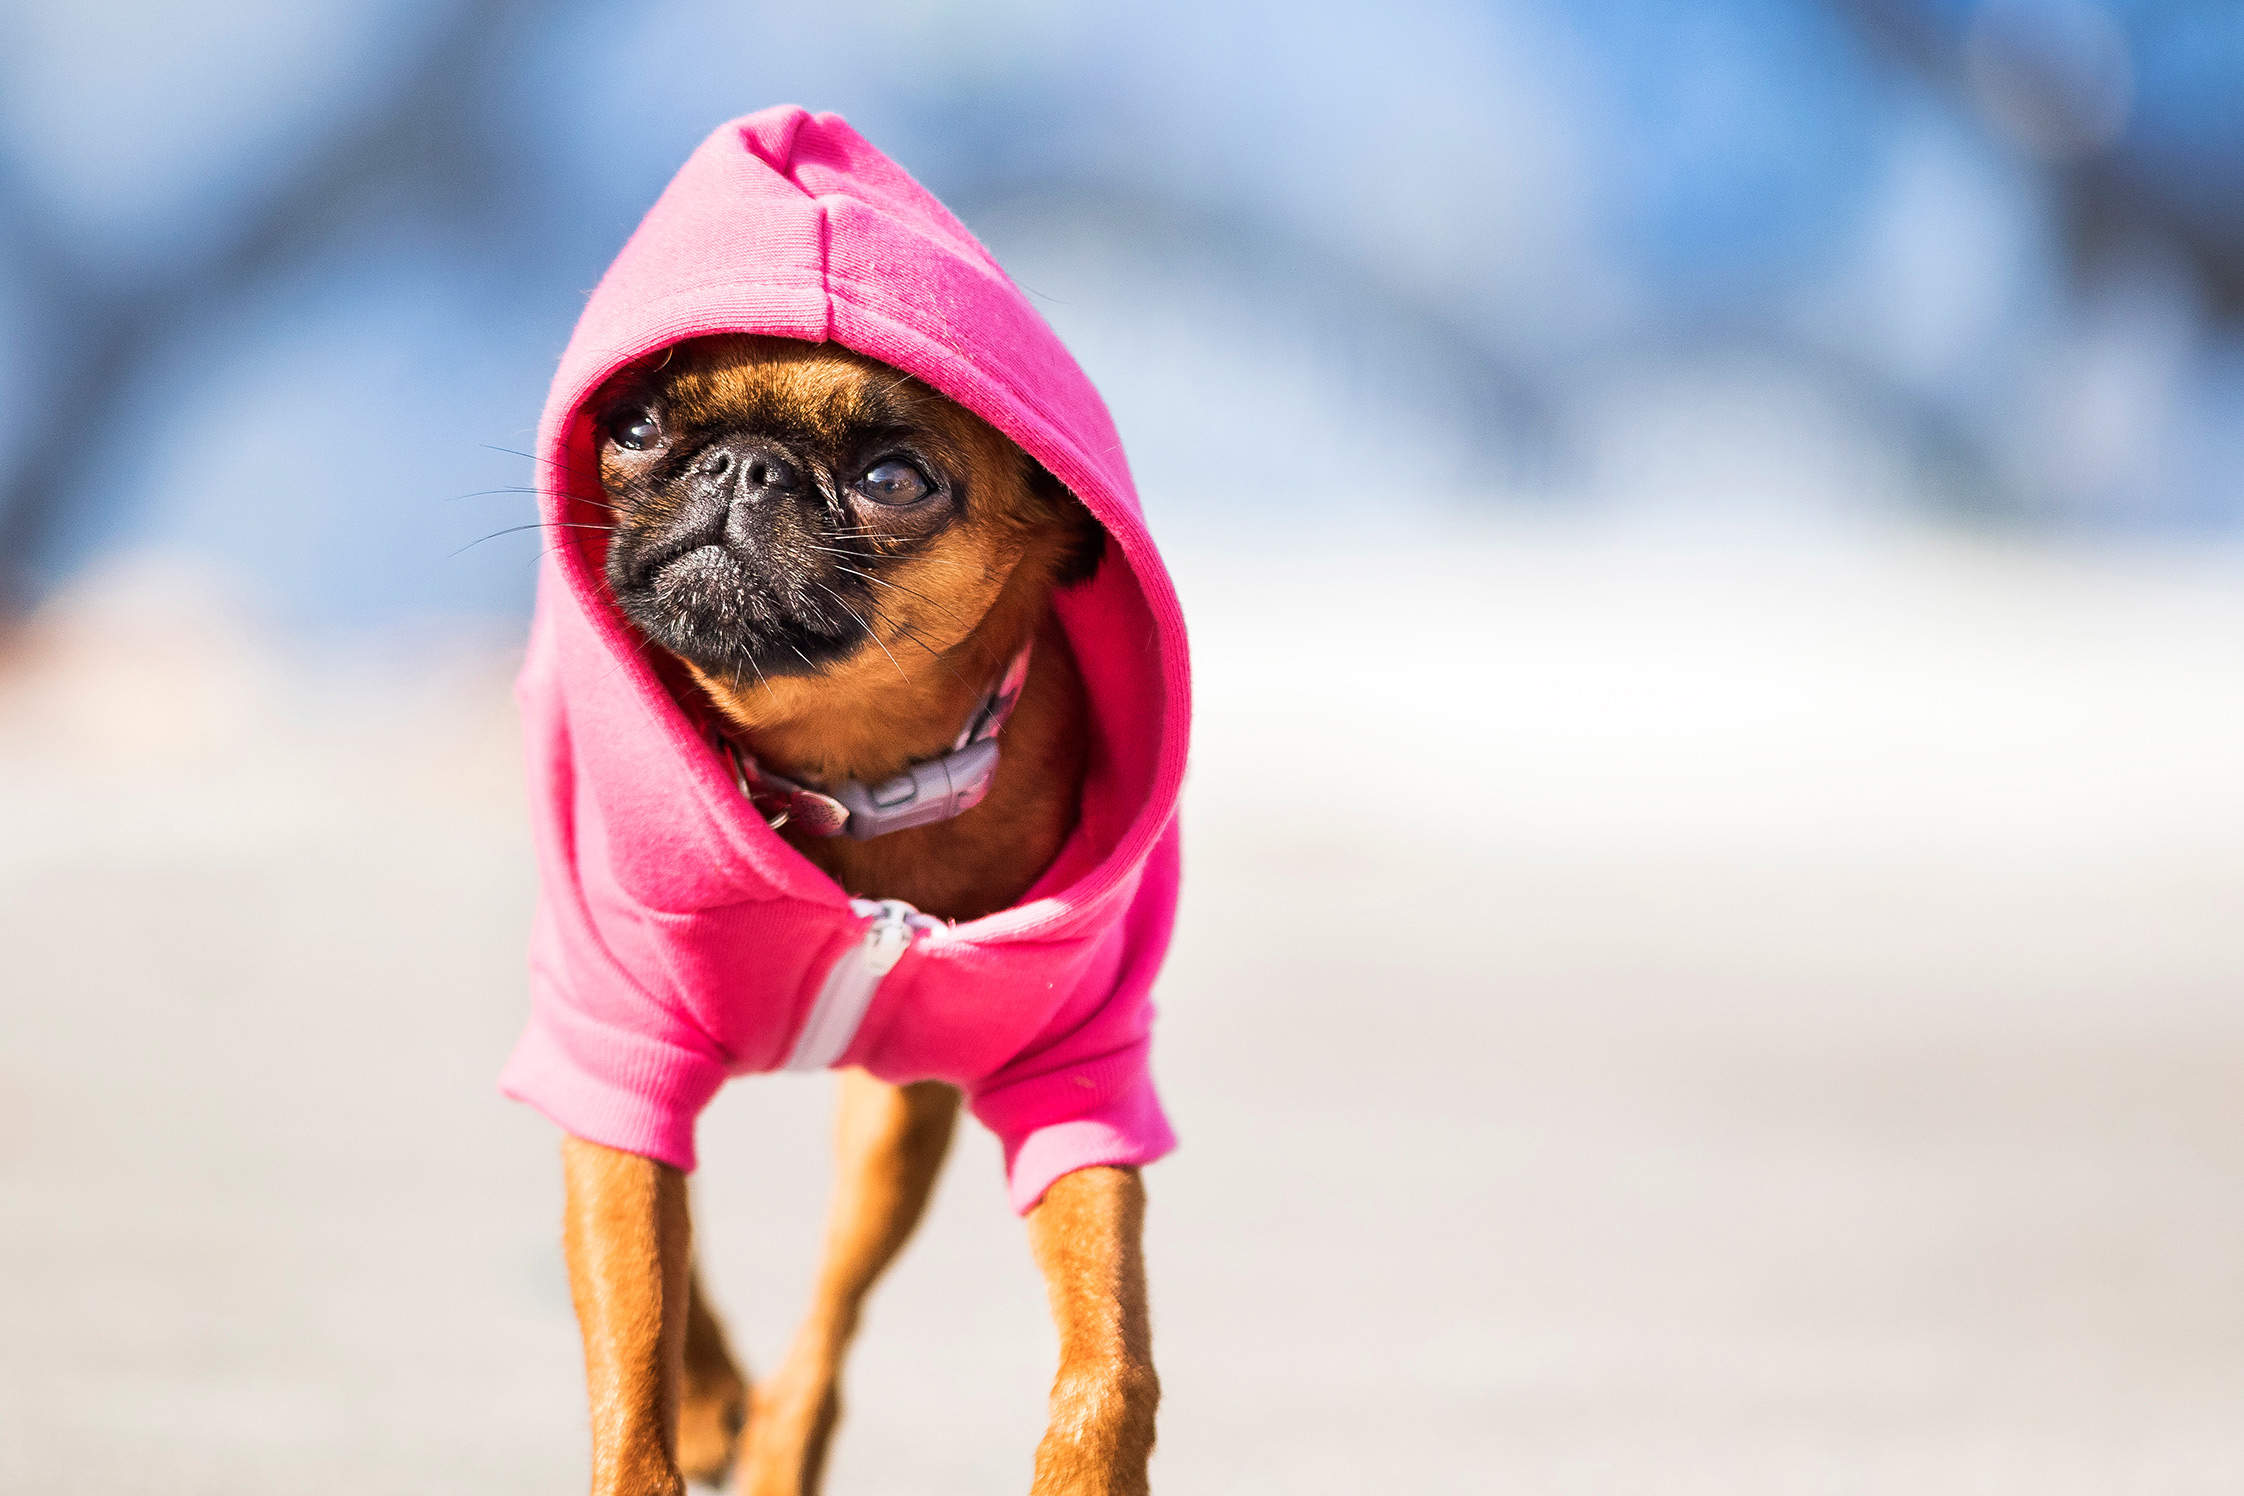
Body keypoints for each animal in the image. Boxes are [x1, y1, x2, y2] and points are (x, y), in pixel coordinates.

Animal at [552, 336, 1157, 1496]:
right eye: (635, 425)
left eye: (893, 480)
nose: (743, 465)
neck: (839, 773)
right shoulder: (617, 1046)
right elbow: (637, 1318)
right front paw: (667, 1421)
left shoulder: (1076, 1080)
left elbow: (1111, 1347)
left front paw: (1085, 1469)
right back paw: (713, 1400)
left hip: (894, 1133)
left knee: (833, 1304)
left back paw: (778, 1444)